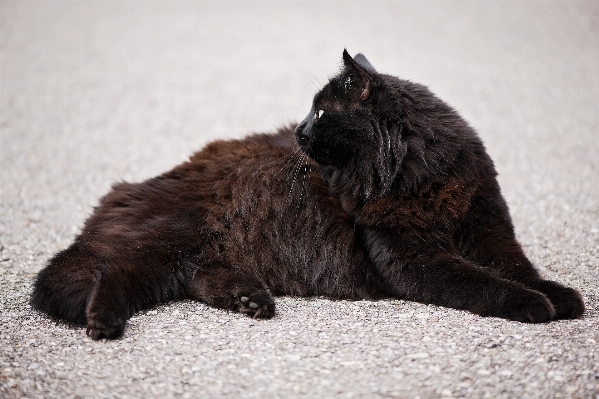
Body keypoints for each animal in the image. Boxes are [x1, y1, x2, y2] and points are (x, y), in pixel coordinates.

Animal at [30, 48, 584, 340]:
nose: (297, 130)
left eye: (320, 112)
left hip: (191, 255)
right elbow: (484, 283)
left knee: (200, 278)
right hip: (165, 243)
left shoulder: (487, 225)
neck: (417, 177)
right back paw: (104, 322)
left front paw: (560, 296)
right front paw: (534, 304)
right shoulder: (414, 258)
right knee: (114, 273)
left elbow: (516, 267)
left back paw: (252, 301)